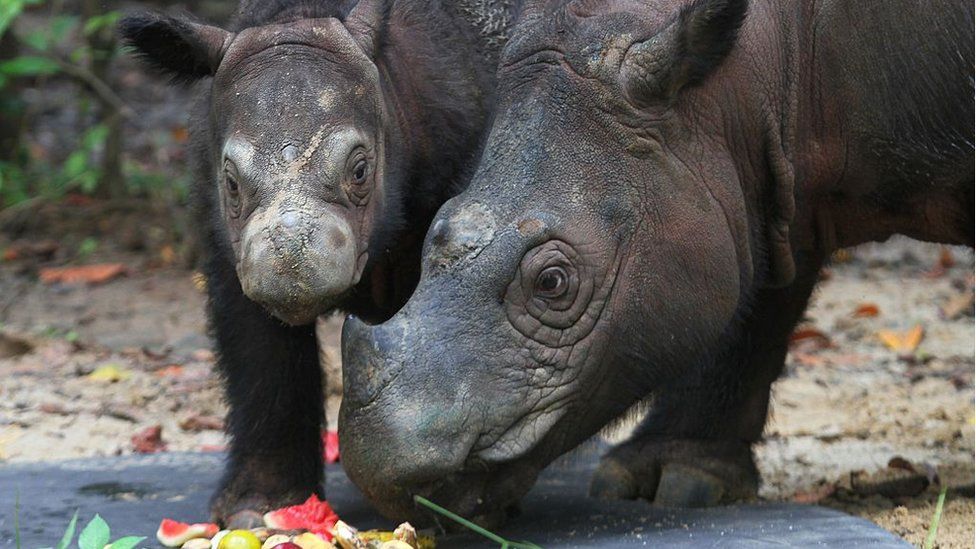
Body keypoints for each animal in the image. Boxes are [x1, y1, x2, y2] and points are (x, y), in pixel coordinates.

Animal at [120, 0, 520, 524]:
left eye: (360, 170)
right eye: (231, 183)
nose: (291, 264)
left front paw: (446, 494)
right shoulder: (229, 251)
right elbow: (260, 358)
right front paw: (261, 507)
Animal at [338, 0, 976, 524]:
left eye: (553, 283)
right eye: (436, 232)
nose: (377, 466)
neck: (759, 70)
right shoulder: (763, 173)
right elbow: (751, 301)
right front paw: (676, 476)